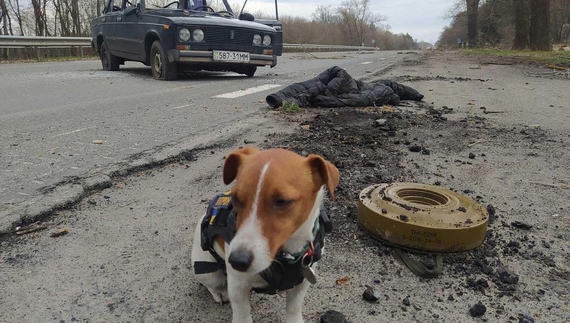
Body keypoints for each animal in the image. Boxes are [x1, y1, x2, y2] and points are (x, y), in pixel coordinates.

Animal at [191, 147, 338, 323]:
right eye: (235, 198)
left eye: (282, 201)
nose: (236, 261)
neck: (287, 253)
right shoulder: (237, 285)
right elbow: (242, 313)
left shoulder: (302, 282)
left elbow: (294, 307)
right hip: (208, 271)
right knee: (212, 284)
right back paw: (219, 292)